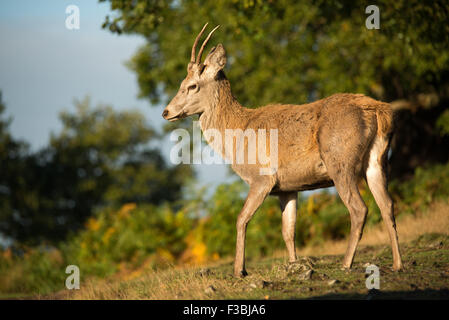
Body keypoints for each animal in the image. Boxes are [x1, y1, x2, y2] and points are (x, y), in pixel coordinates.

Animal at [161, 23, 402, 278]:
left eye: (192, 85)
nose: (166, 112)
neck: (237, 133)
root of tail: (379, 111)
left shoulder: (262, 178)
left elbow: (241, 219)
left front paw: (239, 270)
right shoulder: (288, 188)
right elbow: (288, 230)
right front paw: (294, 265)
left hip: (340, 161)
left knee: (359, 208)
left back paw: (346, 264)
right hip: (377, 161)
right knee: (387, 205)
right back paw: (397, 264)